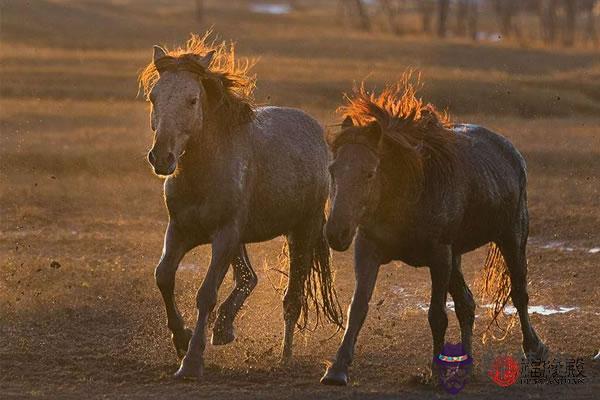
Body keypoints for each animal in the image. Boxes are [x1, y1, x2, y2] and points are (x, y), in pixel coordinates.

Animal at [138, 35, 340, 382]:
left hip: (301, 231)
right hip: (243, 238)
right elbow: (163, 276)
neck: (203, 172)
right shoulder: (180, 230)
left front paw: (191, 362)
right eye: (154, 97)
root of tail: (315, 130)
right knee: (249, 277)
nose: (162, 157)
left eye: (193, 100)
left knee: (292, 298)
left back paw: (284, 356)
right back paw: (224, 327)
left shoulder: (224, 235)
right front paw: (181, 340)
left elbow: (206, 293)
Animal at [322, 80, 548, 384]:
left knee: (519, 293)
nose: (336, 232)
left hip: (512, 238)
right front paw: (337, 368)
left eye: (369, 173)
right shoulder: (368, 248)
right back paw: (466, 364)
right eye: (333, 170)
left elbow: (437, 315)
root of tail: (510, 152)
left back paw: (534, 349)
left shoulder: (439, 256)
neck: (408, 191)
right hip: (457, 257)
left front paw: (436, 371)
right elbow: (357, 307)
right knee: (466, 304)